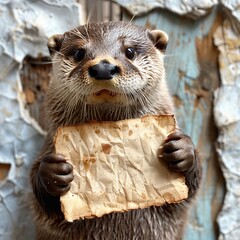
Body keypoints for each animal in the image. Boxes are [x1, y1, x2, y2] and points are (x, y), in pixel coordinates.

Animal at [31, 21, 202, 239]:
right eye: (79, 53)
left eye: (129, 51)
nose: (103, 67)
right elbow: (39, 197)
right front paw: (52, 173)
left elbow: (192, 189)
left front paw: (183, 150)